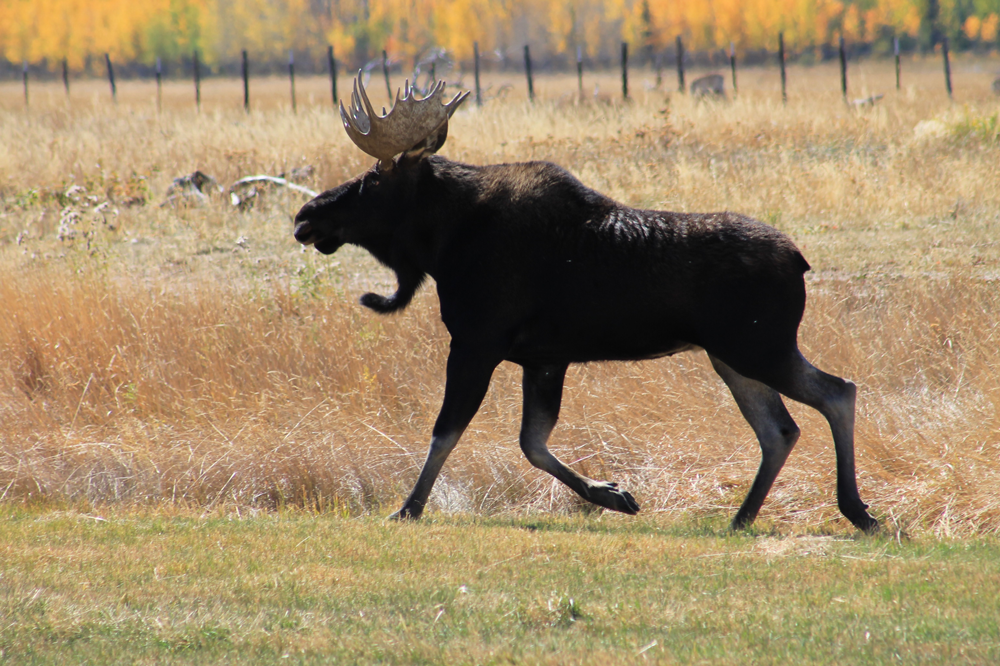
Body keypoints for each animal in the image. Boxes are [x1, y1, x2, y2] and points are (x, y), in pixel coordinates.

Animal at [292, 75, 880, 532]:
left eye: (372, 179)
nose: (305, 215)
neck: (443, 248)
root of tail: (800, 259)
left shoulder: (478, 341)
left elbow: (447, 432)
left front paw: (408, 508)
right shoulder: (544, 358)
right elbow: (532, 441)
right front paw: (613, 494)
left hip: (759, 346)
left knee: (837, 392)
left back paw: (855, 510)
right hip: (731, 356)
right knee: (779, 429)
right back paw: (742, 516)